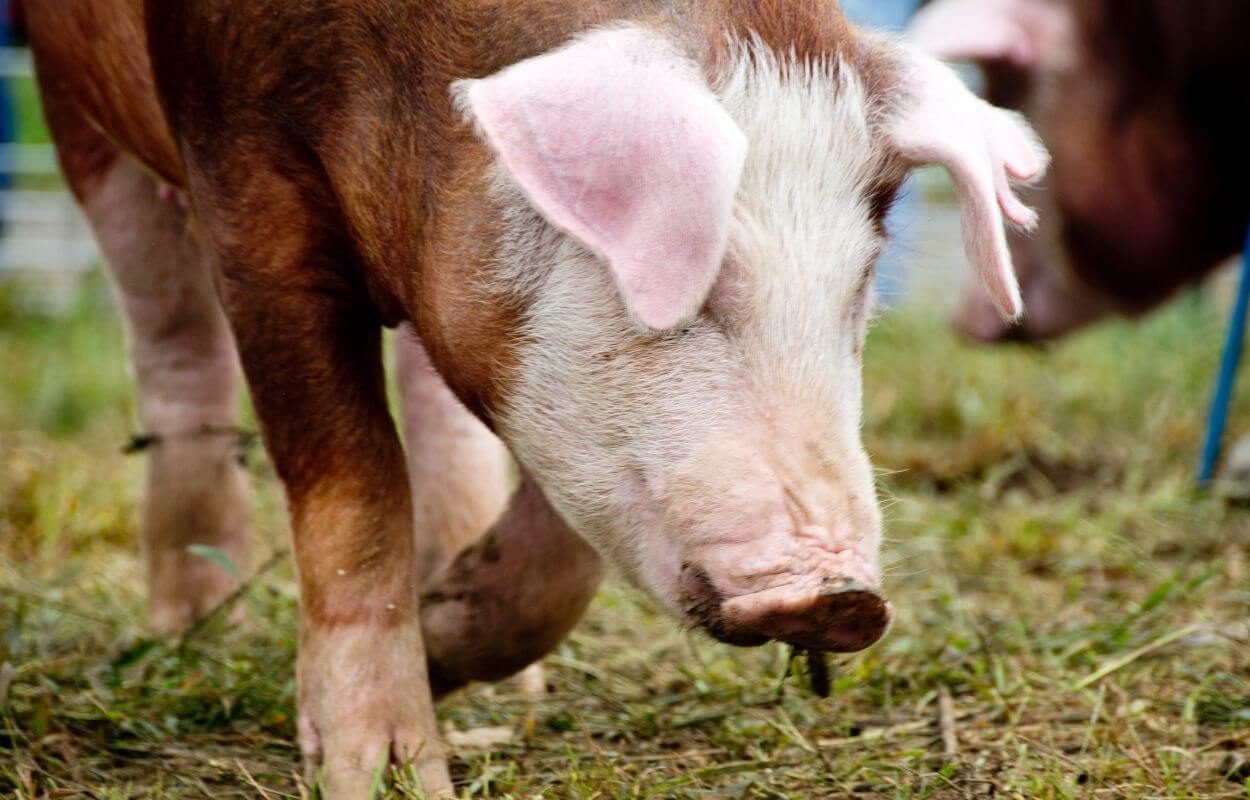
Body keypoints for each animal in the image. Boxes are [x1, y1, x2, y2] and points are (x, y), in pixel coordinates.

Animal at [26, 0, 1045, 795]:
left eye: (860, 285)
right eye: (704, 283)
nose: (845, 599)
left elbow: (568, 539)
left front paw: (445, 642)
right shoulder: (243, 176)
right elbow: (352, 478)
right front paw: (386, 777)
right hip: (77, 107)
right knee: (170, 340)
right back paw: (196, 628)